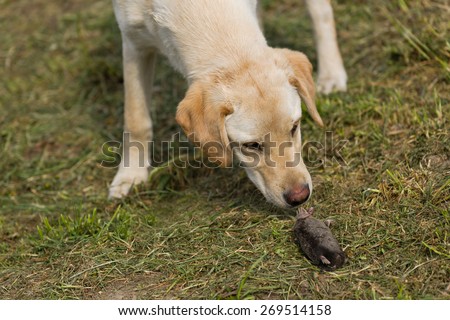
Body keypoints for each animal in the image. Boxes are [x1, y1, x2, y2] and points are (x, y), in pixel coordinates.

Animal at [110, 0, 348, 208]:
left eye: (295, 127)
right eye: (251, 145)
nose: (300, 196)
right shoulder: (133, 42)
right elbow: (136, 119)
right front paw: (130, 176)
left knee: (321, 12)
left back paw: (331, 74)